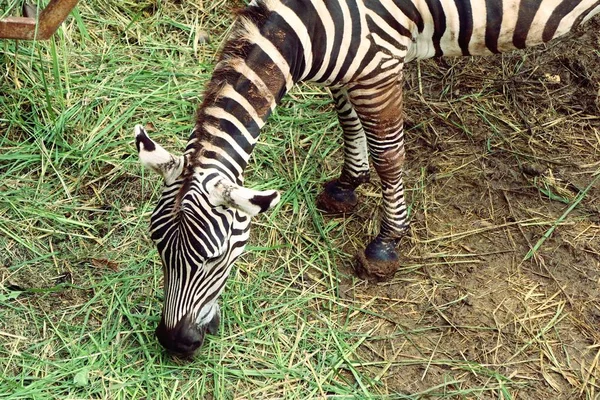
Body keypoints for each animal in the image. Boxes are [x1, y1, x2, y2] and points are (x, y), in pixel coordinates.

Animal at [136, 0, 600, 356]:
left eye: (214, 259)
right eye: (157, 247)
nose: (174, 343)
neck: (310, 25)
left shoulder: (379, 71)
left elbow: (388, 155)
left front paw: (386, 243)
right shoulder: (348, 70)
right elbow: (348, 122)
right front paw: (347, 186)